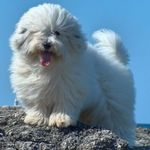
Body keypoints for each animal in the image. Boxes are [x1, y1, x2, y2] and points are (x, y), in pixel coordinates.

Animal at [9, 2, 135, 145]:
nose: (46, 44)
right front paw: (37, 119)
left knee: (120, 124)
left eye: (57, 33)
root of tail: (118, 61)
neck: (49, 67)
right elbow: (37, 104)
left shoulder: (70, 89)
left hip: (116, 106)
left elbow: (64, 104)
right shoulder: (32, 89)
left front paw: (61, 119)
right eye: (39, 31)